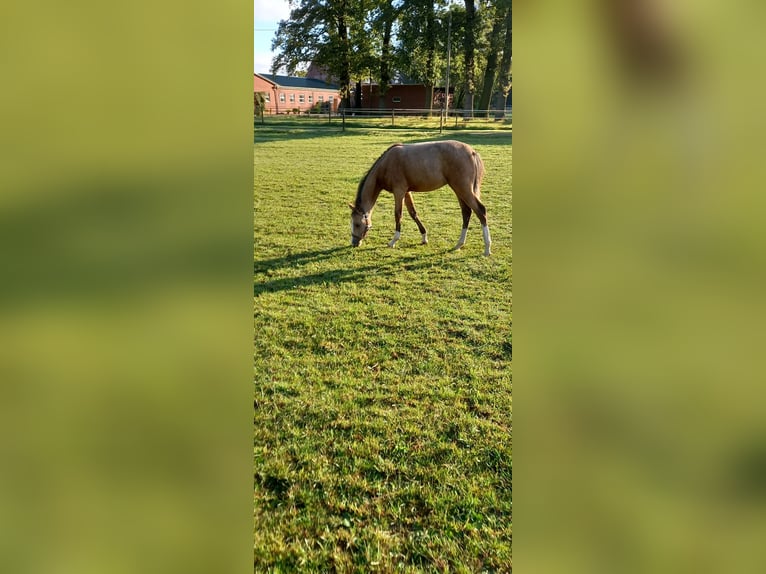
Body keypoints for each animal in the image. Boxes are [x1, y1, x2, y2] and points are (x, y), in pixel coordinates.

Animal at [348, 140, 492, 256]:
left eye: (357, 224)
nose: (354, 243)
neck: (386, 164)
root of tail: (472, 152)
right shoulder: (406, 192)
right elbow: (413, 213)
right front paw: (424, 237)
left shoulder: (399, 191)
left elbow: (398, 214)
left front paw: (393, 241)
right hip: (459, 190)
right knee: (466, 212)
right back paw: (459, 244)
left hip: (463, 189)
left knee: (480, 211)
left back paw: (487, 248)